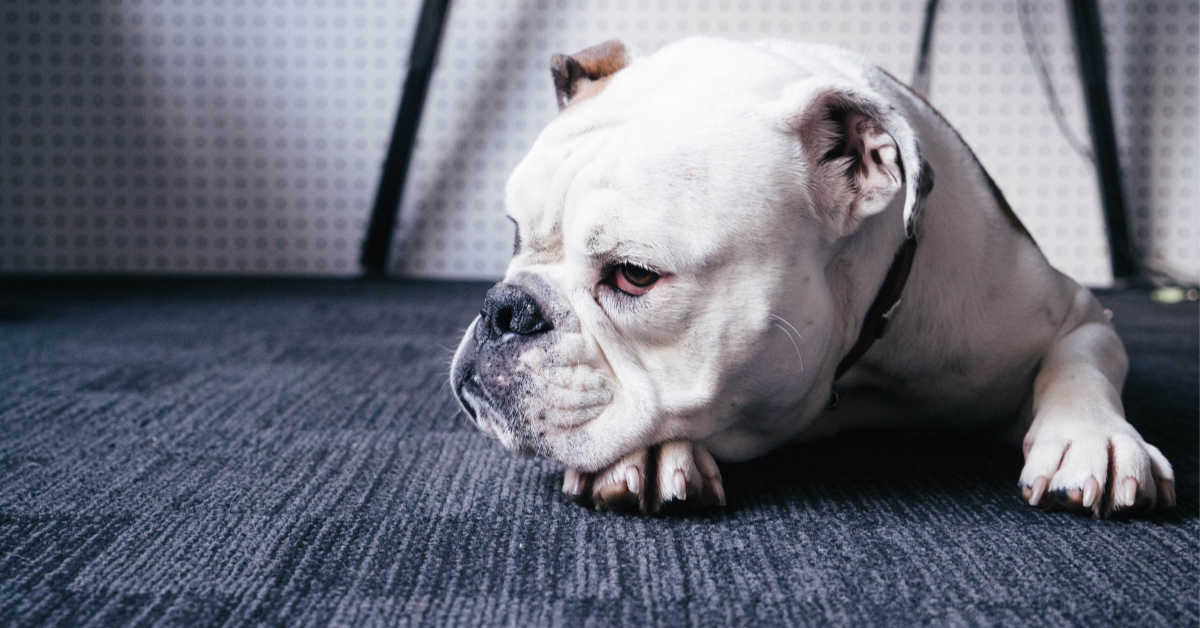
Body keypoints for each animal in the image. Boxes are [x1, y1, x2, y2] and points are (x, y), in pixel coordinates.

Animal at [448, 36, 1171, 518]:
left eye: (633, 277)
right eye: (514, 234)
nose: (503, 309)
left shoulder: (1076, 312)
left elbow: (1081, 361)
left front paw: (1095, 438)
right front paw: (653, 456)